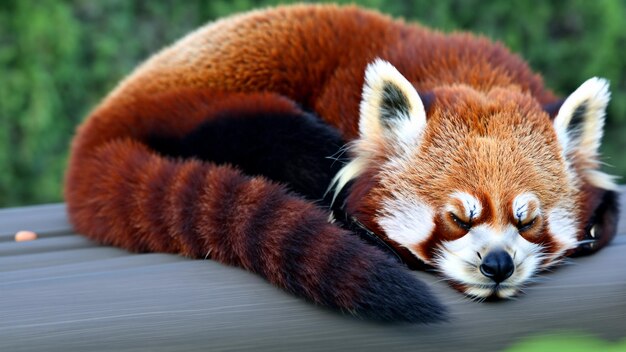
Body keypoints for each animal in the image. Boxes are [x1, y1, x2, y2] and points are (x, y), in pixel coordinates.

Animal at [63, 3, 616, 322]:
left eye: (528, 221)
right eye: (458, 219)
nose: (497, 265)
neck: (469, 72)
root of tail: (98, 124)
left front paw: (595, 226)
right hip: (210, 110)